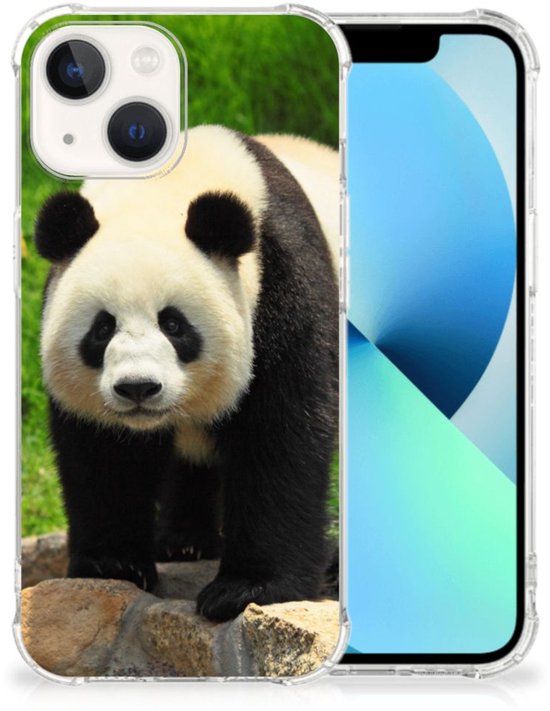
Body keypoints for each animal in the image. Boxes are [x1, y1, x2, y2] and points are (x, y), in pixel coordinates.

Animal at [35, 125, 339, 622]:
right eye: (102, 328)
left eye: (174, 324)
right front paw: (112, 564)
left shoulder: (283, 286)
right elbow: (104, 454)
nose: (138, 388)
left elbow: (281, 436)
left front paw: (247, 589)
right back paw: (183, 543)